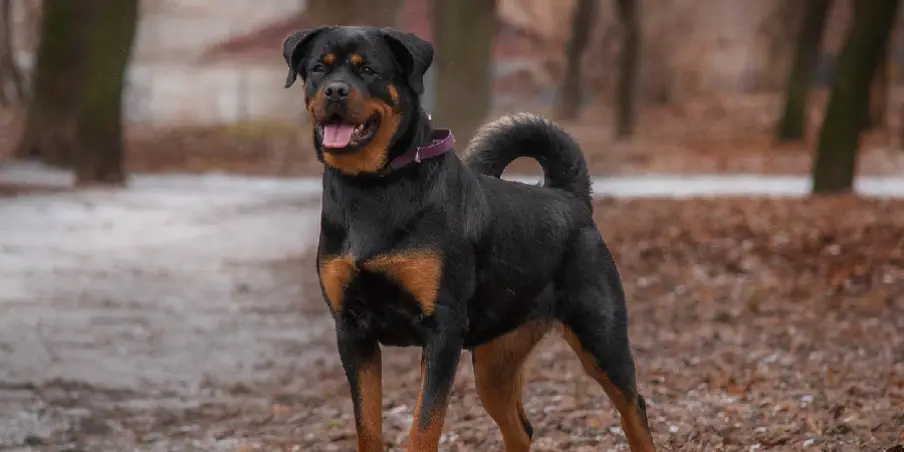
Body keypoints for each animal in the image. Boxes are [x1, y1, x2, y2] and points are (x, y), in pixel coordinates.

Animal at [282, 25, 656, 452]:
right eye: (318, 69)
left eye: (369, 70)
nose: (336, 91)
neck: (373, 188)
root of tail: (570, 197)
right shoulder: (351, 331)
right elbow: (368, 426)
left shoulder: (442, 330)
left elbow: (424, 426)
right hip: (496, 360)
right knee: (520, 428)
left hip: (600, 335)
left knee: (634, 409)